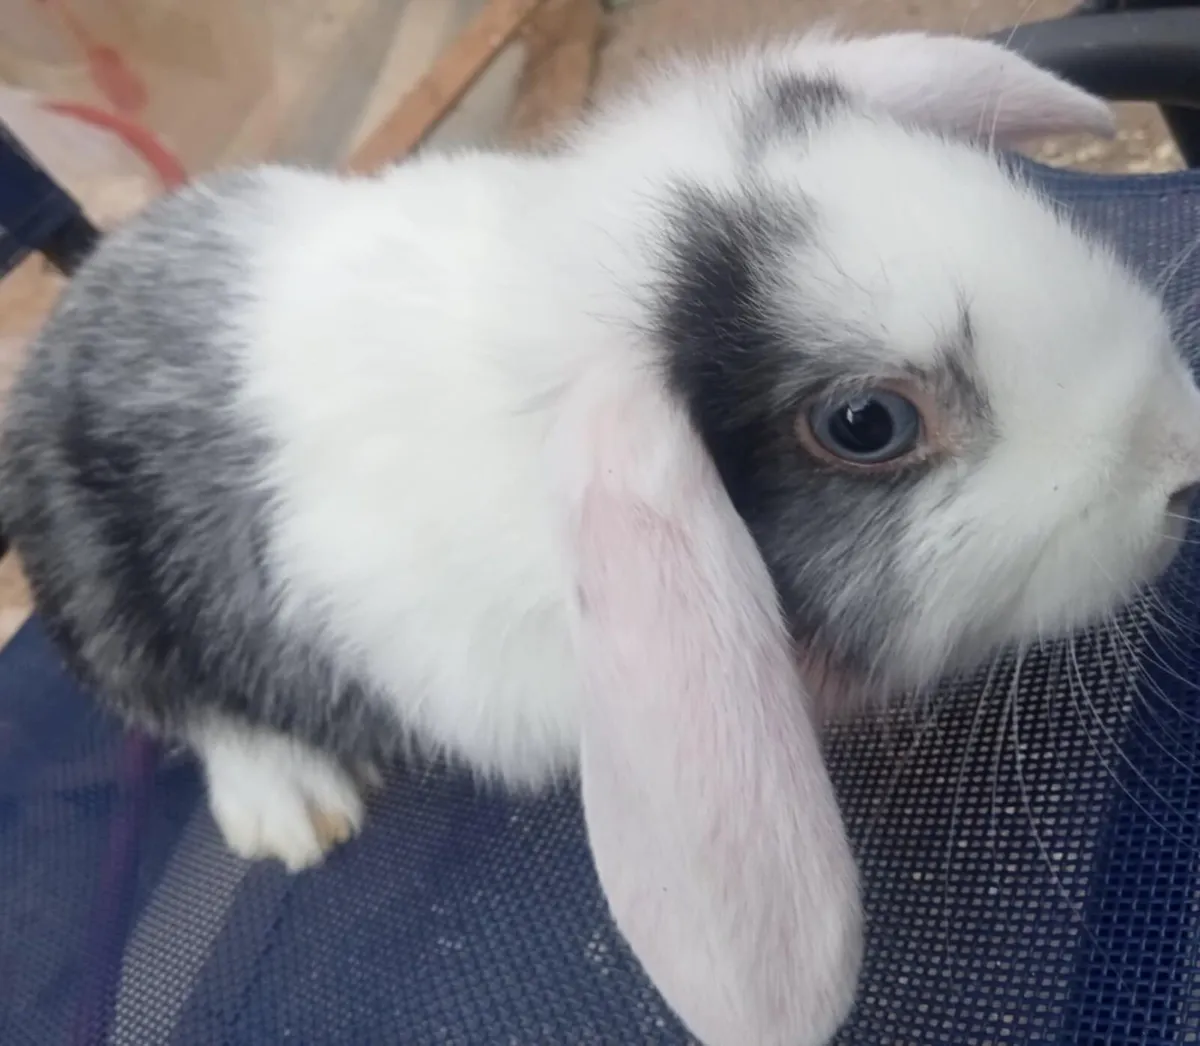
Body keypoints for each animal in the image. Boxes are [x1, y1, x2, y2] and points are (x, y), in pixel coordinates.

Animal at [5, 26, 1200, 1046]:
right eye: (867, 423)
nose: (1181, 466)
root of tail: (68, 326)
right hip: (109, 596)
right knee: (189, 707)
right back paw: (294, 809)